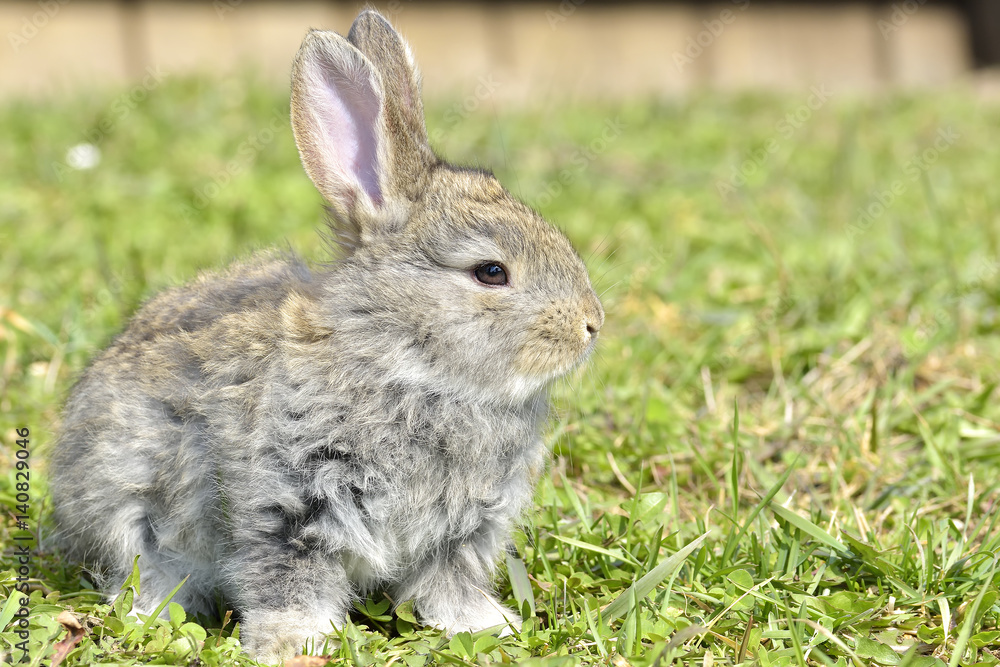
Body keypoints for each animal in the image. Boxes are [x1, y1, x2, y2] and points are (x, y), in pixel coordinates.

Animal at [50, 8, 603, 664]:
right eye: (491, 272)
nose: (591, 325)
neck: (405, 361)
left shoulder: (461, 528)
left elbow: (448, 584)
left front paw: (483, 626)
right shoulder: (286, 504)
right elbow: (288, 577)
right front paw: (295, 642)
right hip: (130, 509)